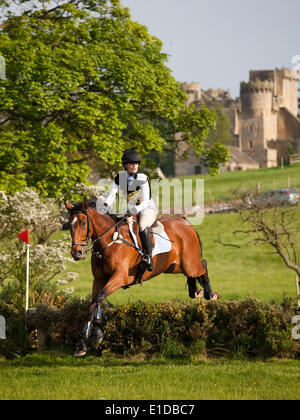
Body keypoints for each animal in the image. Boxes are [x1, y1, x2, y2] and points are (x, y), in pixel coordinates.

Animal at [65, 199, 219, 356]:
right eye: (69, 224)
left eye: (83, 223)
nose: (77, 253)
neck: (110, 242)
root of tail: (184, 221)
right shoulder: (98, 280)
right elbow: (92, 305)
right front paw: (81, 345)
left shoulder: (119, 278)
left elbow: (100, 298)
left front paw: (97, 333)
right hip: (174, 266)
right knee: (194, 272)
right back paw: (195, 291)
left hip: (189, 264)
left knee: (203, 265)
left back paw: (209, 293)